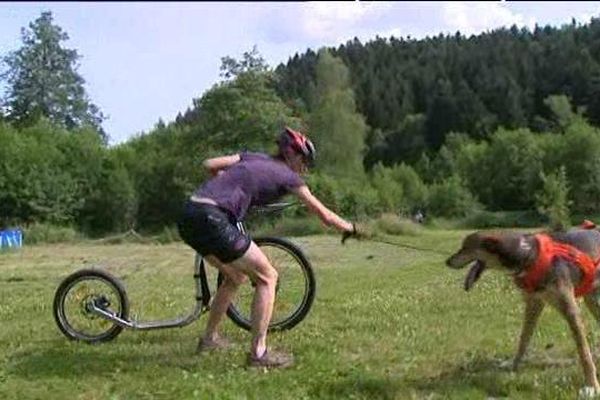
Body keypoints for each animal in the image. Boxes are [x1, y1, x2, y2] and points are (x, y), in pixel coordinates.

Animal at [448, 222, 600, 396]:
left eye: (465, 248)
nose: (447, 261)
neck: (527, 253)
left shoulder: (570, 310)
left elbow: (583, 352)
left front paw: (592, 385)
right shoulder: (533, 304)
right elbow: (523, 339)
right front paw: (513, 366)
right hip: (591, 300)